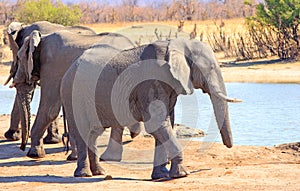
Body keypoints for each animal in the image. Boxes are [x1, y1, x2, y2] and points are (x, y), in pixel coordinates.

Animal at [8, 28, 137, 160]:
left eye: (18, 58)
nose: (22, 147)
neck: (41, 38)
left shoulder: (51, 67)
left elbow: (50, 110)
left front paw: (34, 154)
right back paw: (133, 134)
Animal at [60, 37, 241, 179]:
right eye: (210, 68)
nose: (229, 146)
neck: (179, 43)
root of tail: (69, 69)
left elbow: (166, 124)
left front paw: (161, 176)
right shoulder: (151, 83)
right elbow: (157, 124)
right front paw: (181, 175)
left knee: (93, 133)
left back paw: (99, 172)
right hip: (72, 94)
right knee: (82, 131)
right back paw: (84, 175)